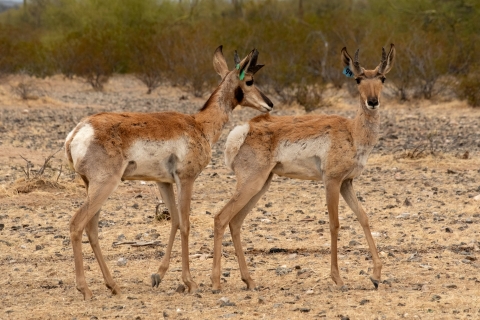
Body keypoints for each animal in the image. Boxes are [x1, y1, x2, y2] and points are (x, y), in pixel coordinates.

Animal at [64, 45, 274, 300]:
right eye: (250, 80)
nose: (270, 104)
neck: (199, 124)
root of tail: (78, 131)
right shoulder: (186, 180)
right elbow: (185, 224)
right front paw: (190, 282)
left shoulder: (163, 183)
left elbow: (174, 220)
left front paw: (159, 275)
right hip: (104, 186)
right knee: (77, 224)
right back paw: (85, 289)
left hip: (92, 187)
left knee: (92, 229)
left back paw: (113, 285)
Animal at [212, 43, 396, 292]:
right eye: (358, 79)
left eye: (382, 78)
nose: (373, 101)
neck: (352, 131)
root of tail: (246, 128)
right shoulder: (332, 182)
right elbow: (335, 224)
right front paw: (338, 278)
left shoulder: (347, 183)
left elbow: (364, 218)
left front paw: (376, 275)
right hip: (252, 183)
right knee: (221, 217)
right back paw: (215, 282)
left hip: (261, 184)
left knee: (235, 221)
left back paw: (249, 280)